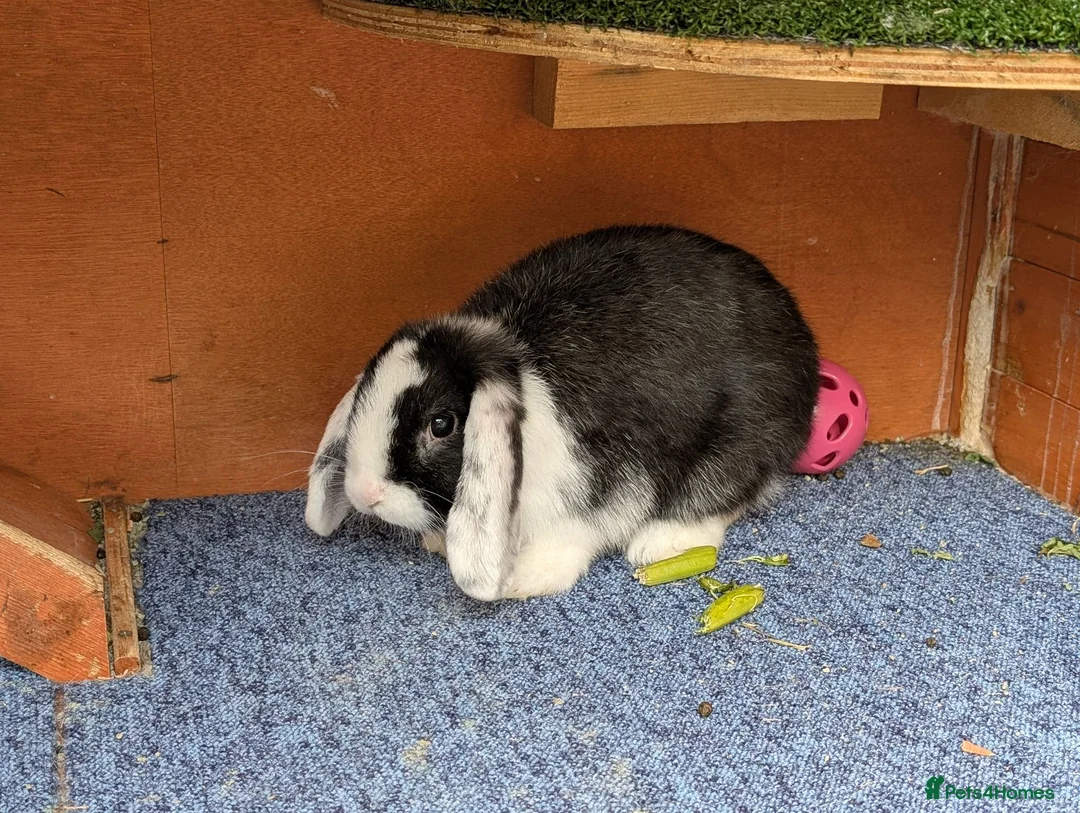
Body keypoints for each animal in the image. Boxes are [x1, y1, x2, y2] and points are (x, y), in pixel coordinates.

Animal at [306, 225, 819, 601]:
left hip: (737, 444)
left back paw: (661, 544)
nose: (364, 494)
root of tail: (801, 337)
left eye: (441, 424)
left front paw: (520, 579)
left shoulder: (601, 484)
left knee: (729, 494)